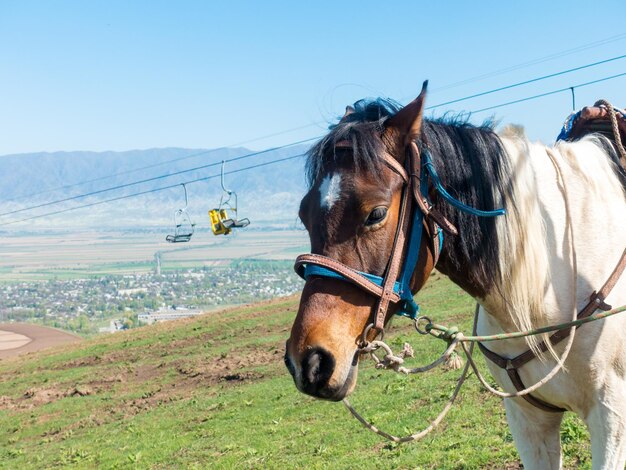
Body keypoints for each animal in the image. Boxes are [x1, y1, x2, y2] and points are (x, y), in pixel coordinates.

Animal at [284, 82, 624, 468]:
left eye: (376, 213)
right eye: (303, 214)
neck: (551, 279)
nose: (309, 361)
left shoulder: (611, 417)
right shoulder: (527, 420)